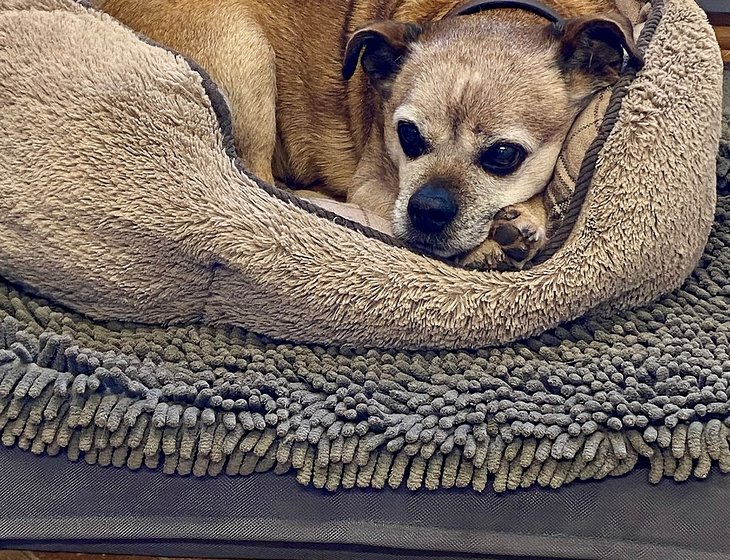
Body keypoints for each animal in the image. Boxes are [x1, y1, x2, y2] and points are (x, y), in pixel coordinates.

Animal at [98, 0, 639, 269]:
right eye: (408, 136)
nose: (427, 208)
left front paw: (525, 215)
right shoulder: (376, 188)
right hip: (245, 57)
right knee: (258, 183)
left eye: (504, 155)